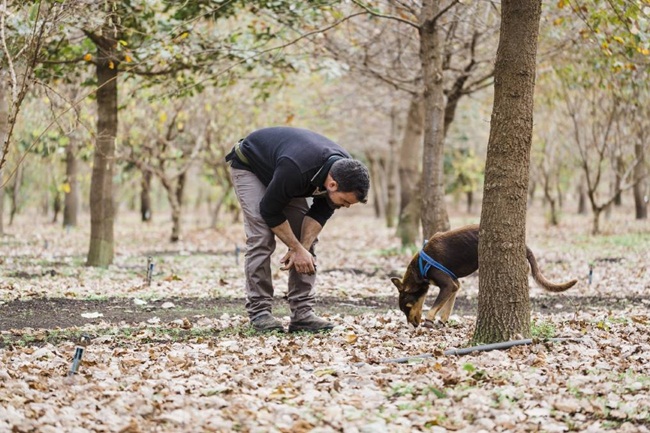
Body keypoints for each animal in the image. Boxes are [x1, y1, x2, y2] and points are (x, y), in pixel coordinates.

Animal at [390, 224, 576, 326]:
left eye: (407, 307)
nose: (413, 326)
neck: (420, 267)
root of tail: (524, 245)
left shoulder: (447, 285)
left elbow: (434, 307)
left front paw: (429, 321)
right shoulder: (454, 285)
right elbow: (448, 306)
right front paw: (442, 321)